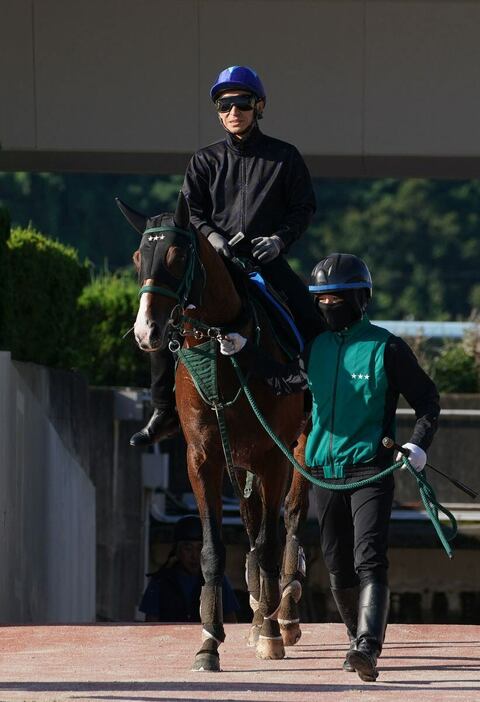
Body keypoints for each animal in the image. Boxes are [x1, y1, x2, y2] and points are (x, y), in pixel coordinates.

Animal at [118, 191, 310, 672]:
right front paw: (209, 640)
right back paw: (262, 612)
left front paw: (271, 633)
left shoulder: (274, 456)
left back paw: (284, 614)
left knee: (291, 518)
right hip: (240, 461)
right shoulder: (203, 459)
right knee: (253, 521)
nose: (146, 331)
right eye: (137, 258)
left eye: (176, 254)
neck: (225, 348)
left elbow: (268, 541)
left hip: (297, 449)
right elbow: (214, 549)